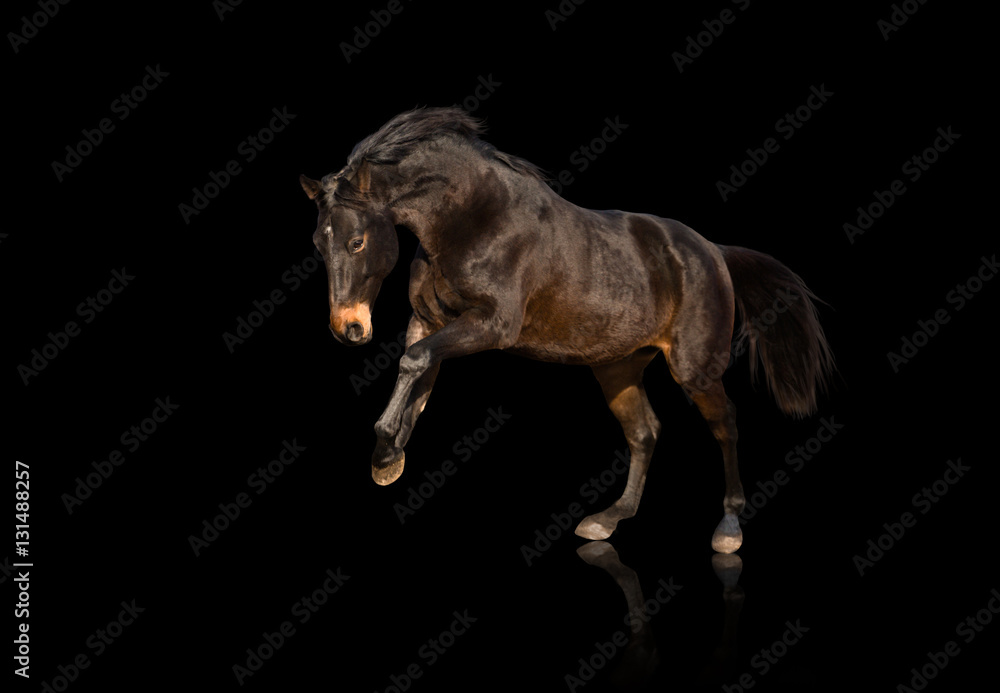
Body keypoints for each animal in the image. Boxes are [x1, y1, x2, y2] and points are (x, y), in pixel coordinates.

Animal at [300, 107, 834, 553]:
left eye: (356, 241)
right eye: (318, 246)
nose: (349, 328)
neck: (470, 218)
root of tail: (716, 252)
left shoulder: (493, 325)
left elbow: (415, 362)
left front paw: (386, 449)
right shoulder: (429, 321)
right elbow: (420, 371)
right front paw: (388, 456)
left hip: (695, 367)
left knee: (725, 424)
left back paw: (728, 528)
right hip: (618, 367)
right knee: (645, 432)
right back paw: (606, 520)